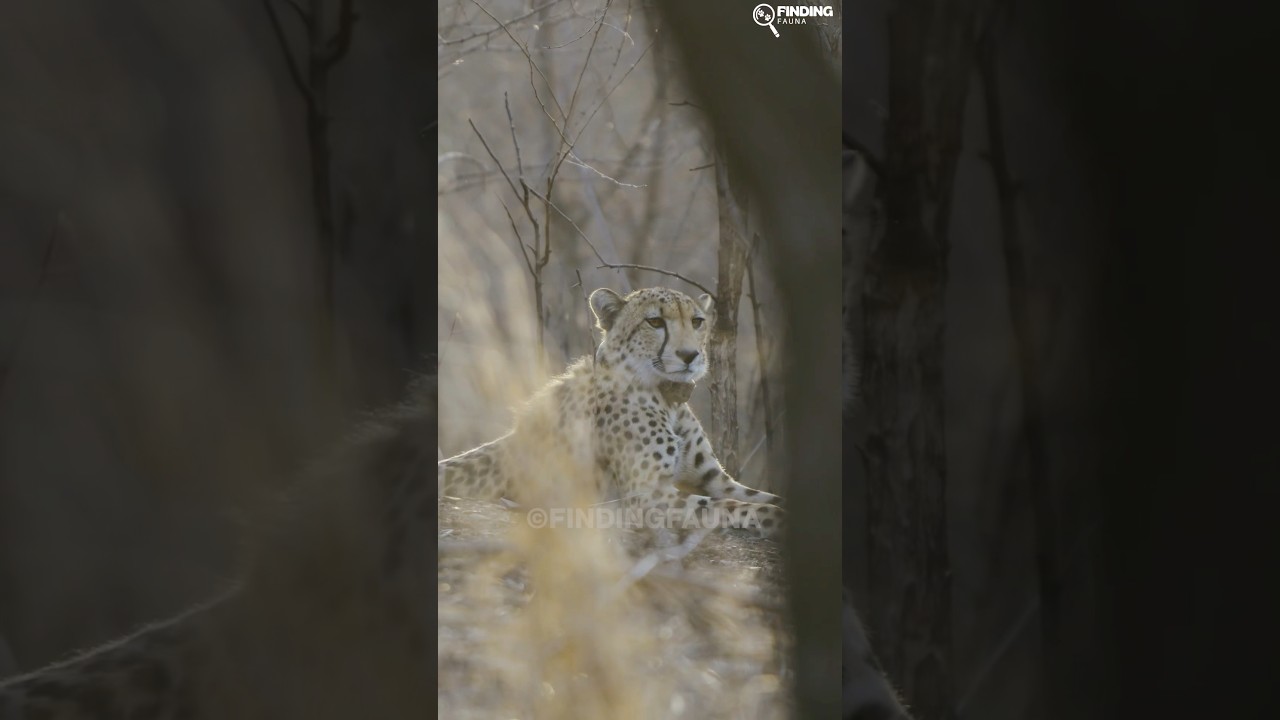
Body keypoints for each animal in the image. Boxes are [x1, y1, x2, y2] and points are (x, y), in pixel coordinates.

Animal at [438, 286, 785, 540]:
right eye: (655, 322)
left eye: (697, 321)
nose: (690, 356)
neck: (667, 396)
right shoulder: (648, 495)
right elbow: (732, 506)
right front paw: (776, 519)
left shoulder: (715, 479)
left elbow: (762, 496)